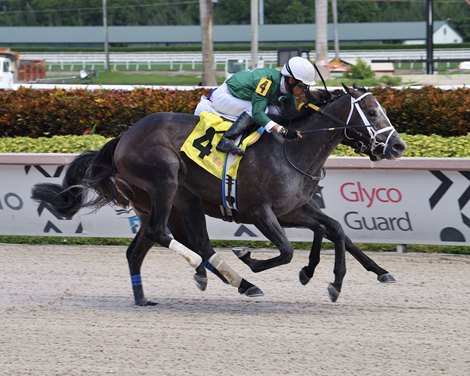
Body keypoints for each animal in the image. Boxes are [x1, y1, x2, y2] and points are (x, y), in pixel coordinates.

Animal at [32, 85, 408, 306]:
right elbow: (289, 250)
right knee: (167, 235)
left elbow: (335, 229)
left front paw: (341, 277)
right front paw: (251, 258)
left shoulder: (293, 209)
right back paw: (229, 277)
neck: (293, 147)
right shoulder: (261, 212)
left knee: (144, 249)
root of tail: (123, 138)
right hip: (166, 184)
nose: (398, 147)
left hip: (168, 202)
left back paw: (148, 296)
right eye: (371, 112)